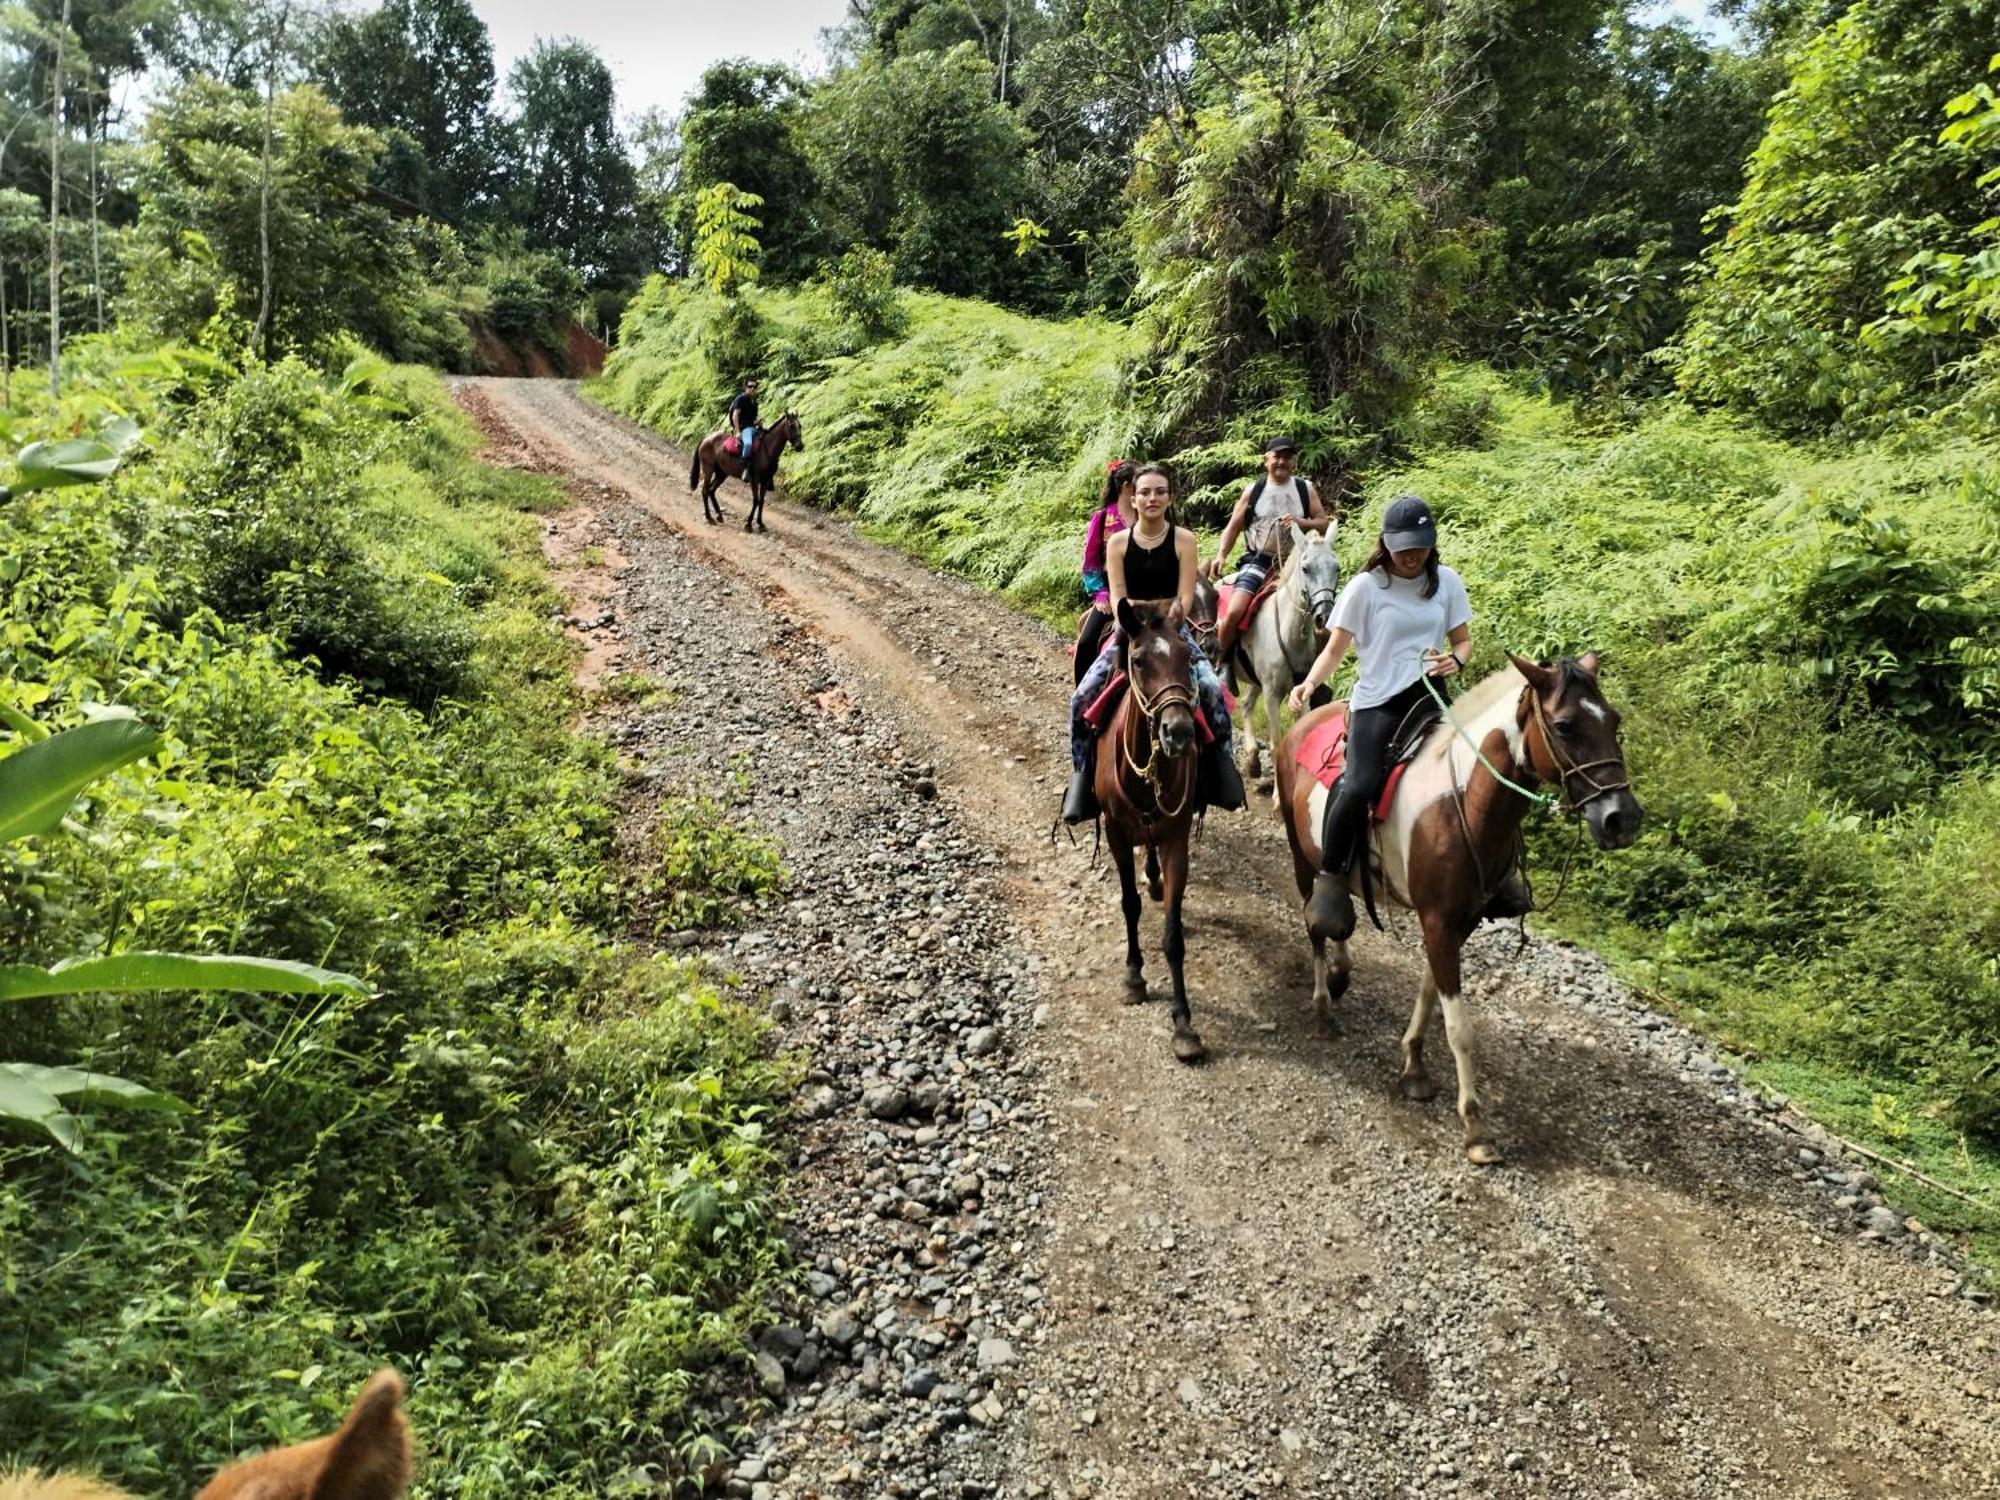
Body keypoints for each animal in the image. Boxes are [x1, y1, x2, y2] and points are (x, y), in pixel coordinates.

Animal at [1224, 532, 1336, 804]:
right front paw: (1277, 797)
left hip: (1256, 681)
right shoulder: (1272, 694)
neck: (1288, 632)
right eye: (1306, 568)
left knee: (1245, 704)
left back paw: (1253, 761)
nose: (1324, 616)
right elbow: (1276, 743)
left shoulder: (1300, 691)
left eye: (1336, 568)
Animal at [1280, 656, 1640, 1160]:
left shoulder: (1458, 923)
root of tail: (1304, 719)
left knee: (1338, 918)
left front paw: (1414, 1065)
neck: (1464, 802)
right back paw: (1321, 1009)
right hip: (1300, 855)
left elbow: (1430, 994)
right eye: (1565, 726)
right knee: (1316, 924)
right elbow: (1459, 1027)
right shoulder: (1437, 922)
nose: (1622, 818)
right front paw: (1475, 1125)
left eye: (1614, 721)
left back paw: (1339, 975)